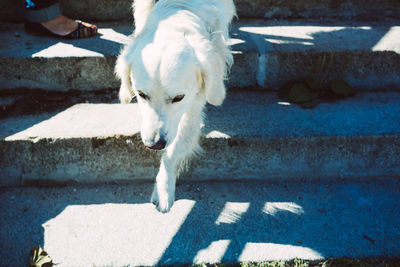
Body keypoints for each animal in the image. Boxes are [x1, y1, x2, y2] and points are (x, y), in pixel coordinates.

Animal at [114, 0, 236, 214]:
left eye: (179, 98)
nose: (154, 144)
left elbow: (175, 149)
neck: (181, 8)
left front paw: (163, 189)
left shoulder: (194, 104)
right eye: (141, 94)